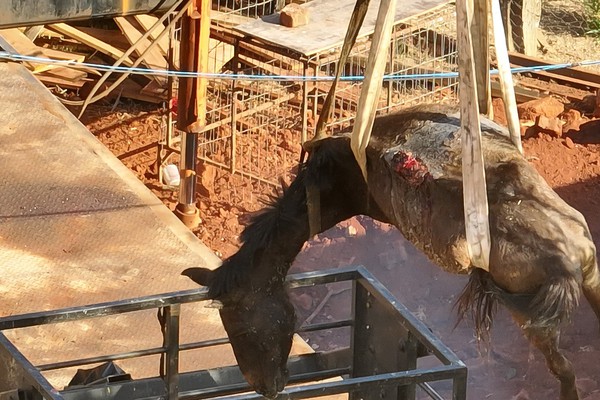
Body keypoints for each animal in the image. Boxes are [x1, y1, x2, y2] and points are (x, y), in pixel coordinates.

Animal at [183, 104, 600, 400]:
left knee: (565, 373)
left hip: (528, 316)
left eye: (241, 325)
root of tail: (569, 259)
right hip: (588, 279)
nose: (264, 387)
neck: (328, 182)